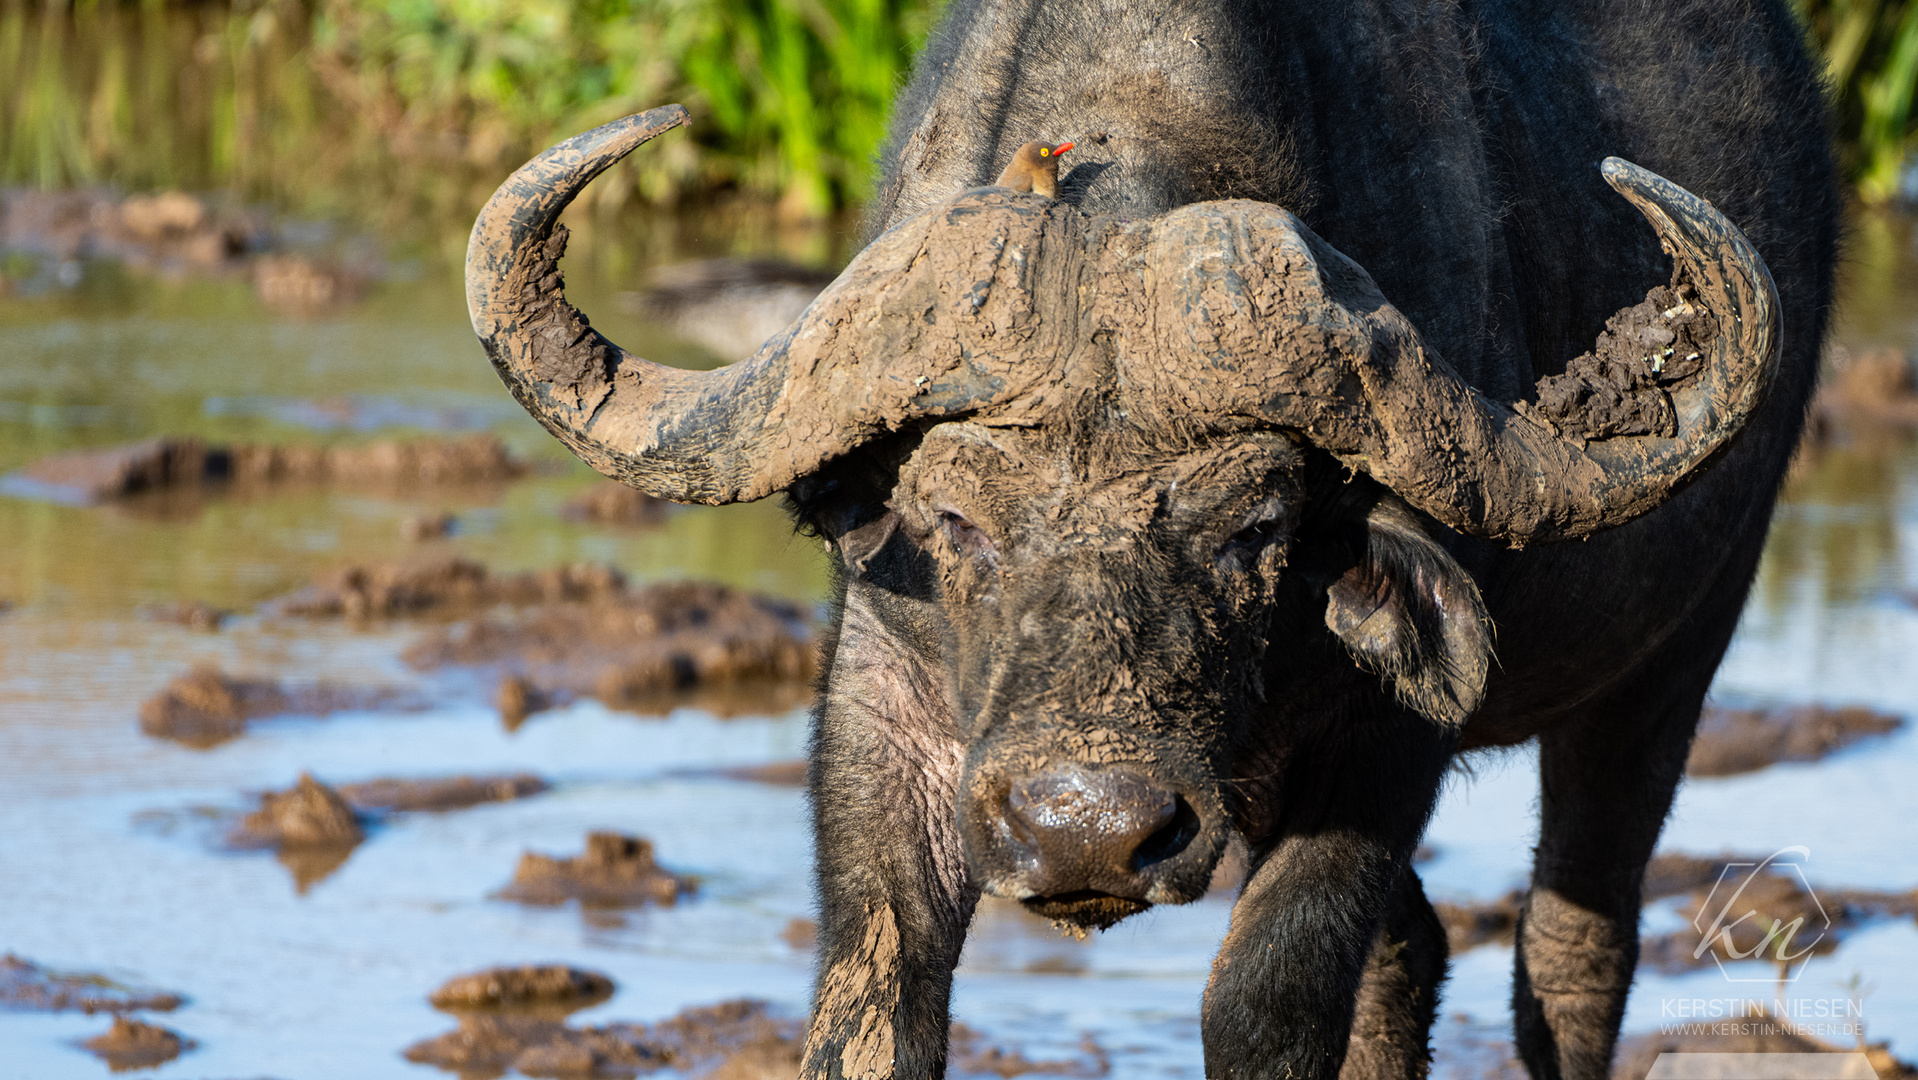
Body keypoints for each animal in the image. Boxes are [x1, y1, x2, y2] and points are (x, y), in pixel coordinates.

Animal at [464, 0, 1841, 1074]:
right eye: (955, 519)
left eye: (1256, 527)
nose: (1084, 829)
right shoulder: (889, 710)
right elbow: (875, 995)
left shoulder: (1383, 739)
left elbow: (1267, 997)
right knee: (1412, 951)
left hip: (1674, 657)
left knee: (1573, 946)